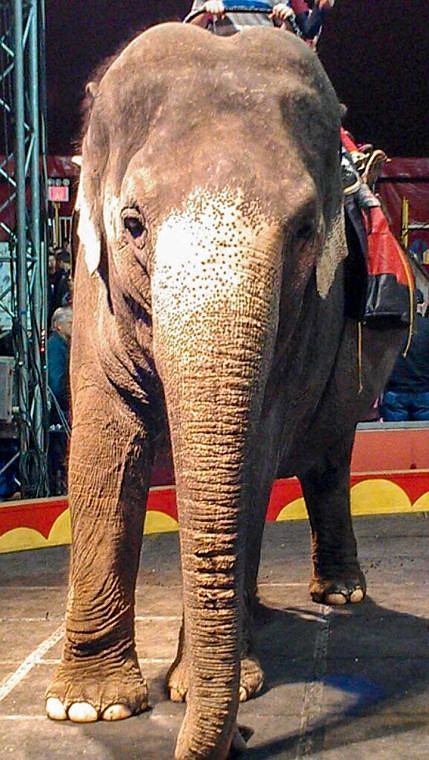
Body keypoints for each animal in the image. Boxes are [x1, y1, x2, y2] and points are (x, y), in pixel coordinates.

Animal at [45, 20, 406, 760]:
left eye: (305, 229)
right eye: (132, 224)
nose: (241, 734)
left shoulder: (310, 310)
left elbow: (256, 450)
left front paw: (218, 687)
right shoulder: (92, 288)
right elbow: (105, 443)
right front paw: (87, 708)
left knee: (326, 455)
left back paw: (338, 595)